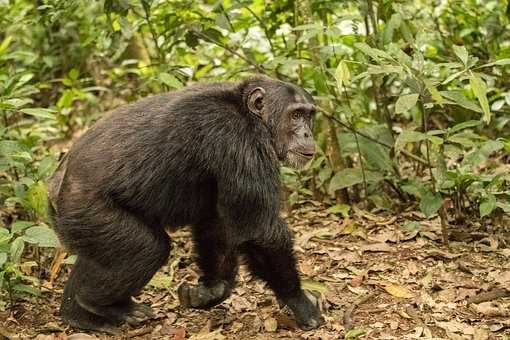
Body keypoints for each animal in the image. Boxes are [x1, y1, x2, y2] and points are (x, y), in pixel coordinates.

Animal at [49, 75, 324, 334]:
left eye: (309, 115)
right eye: (296, 115)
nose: (307, 133)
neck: (251, 116)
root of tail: (53, 187)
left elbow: (217, 222)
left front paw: (211, 290)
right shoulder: (237, 141)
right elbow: (260, 231)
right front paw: (300, 303)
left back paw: (80, 316)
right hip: (89, 212)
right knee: (146, 248)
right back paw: (102, 304)